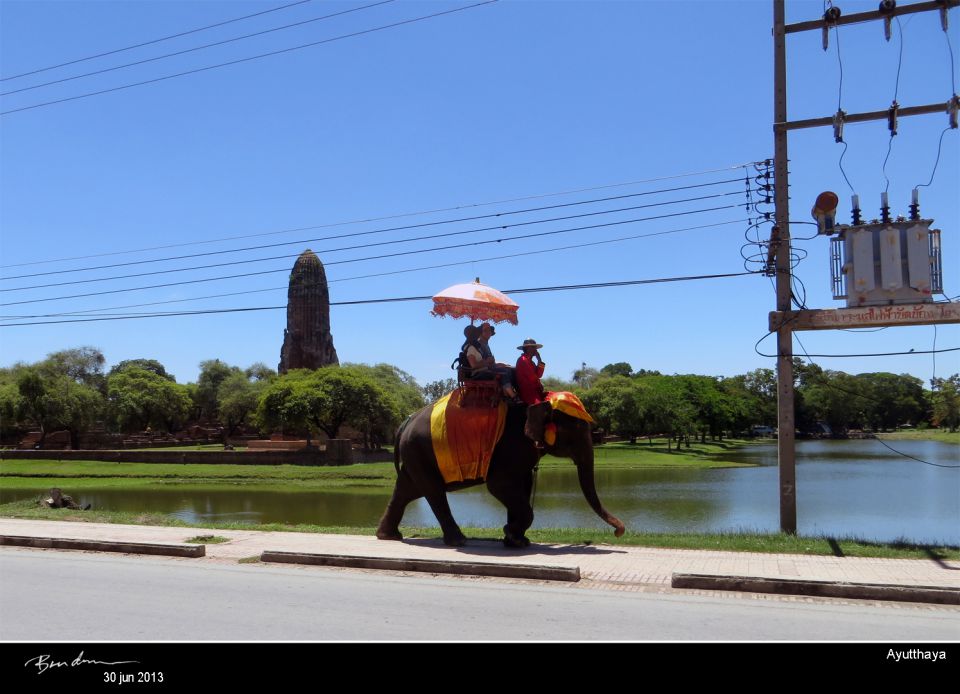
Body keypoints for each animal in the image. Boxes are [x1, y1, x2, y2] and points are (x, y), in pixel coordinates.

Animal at [376, 396, 624, 548]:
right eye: (578, 429)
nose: (618, 532)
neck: (540, 400)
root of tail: (404, 423)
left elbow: (523, 485)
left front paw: (516, 541)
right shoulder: (511, 446)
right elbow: (499, 485)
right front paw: (511, 533)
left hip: (415, 456)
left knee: (408, 490)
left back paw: (388, 536)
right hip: (419, 452)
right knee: (433, 493)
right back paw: (459, 541)